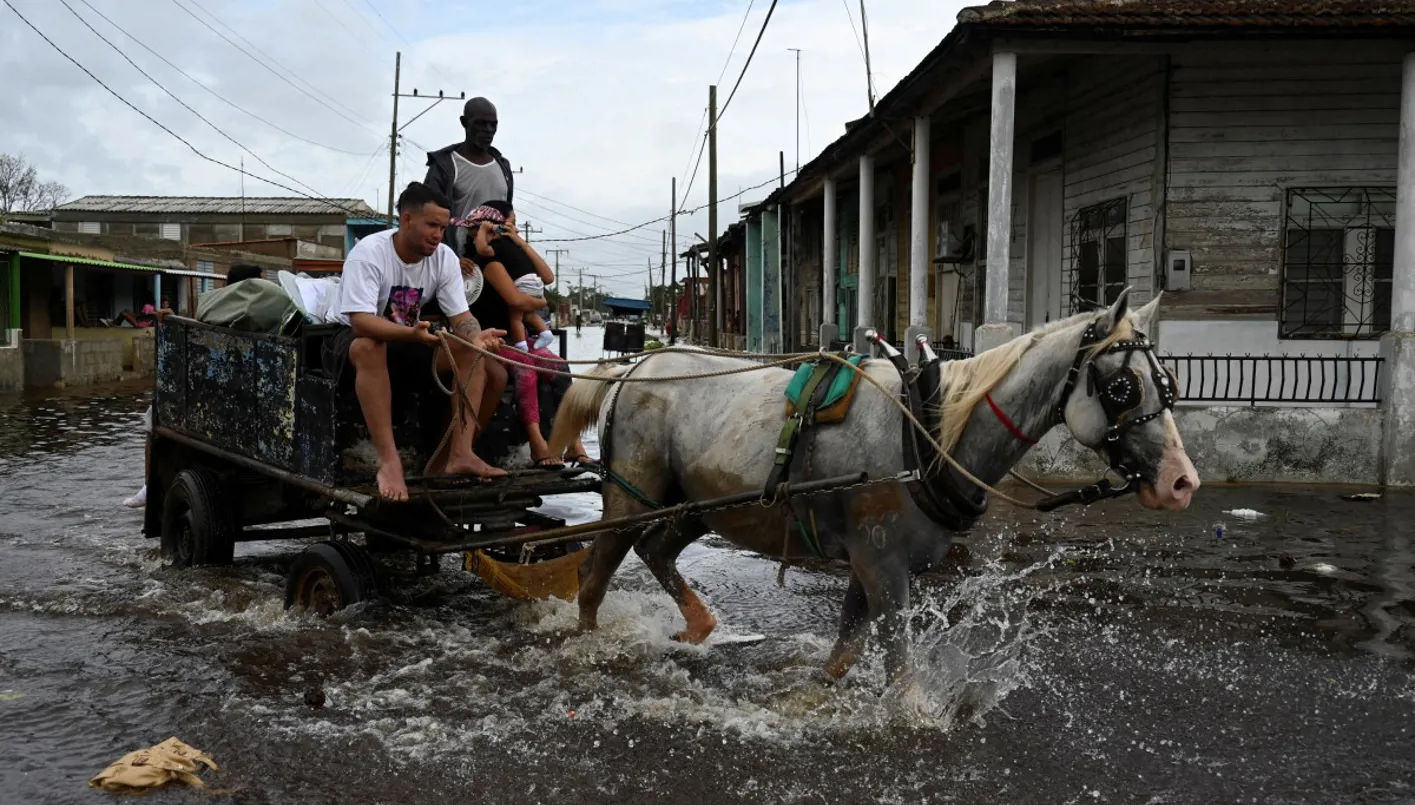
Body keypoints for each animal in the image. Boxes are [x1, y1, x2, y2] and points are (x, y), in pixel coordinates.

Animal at [549, 288, 1194, 679]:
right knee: (595, 575)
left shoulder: (871, 564)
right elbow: (900, 671)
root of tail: (630, 368)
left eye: (1169, 381)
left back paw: (699, 626)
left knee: (655, 550)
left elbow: (843, 654)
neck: (928, 433)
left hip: (697, 506)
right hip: (631, 496)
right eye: (1123, 388)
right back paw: (589, 641)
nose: (1182, 482)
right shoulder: (883, 565)